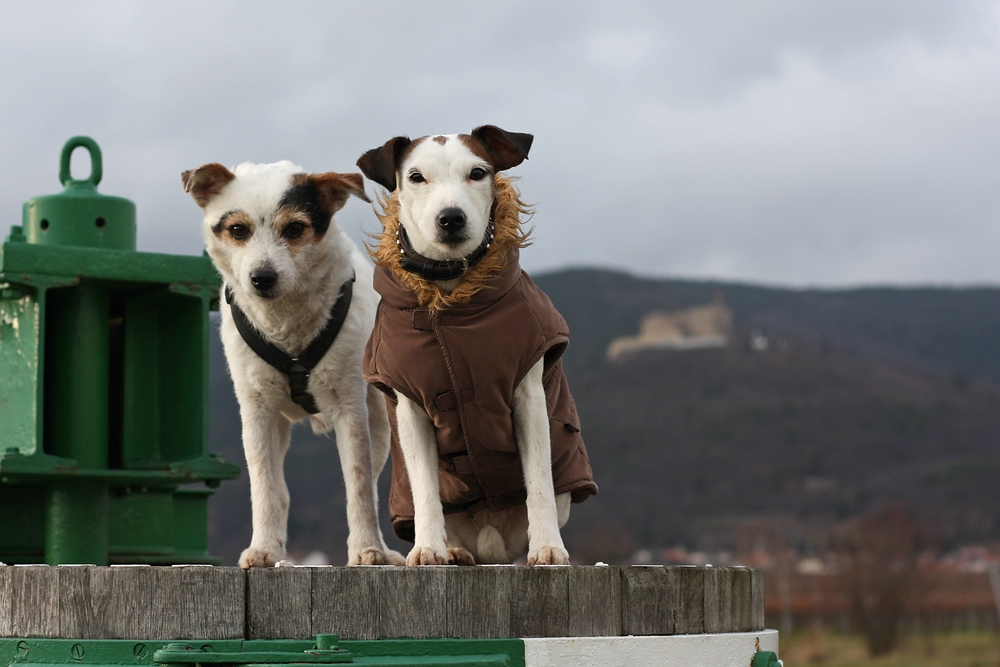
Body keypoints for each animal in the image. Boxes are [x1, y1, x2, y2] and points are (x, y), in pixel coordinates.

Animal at [180, 160, 402, 568]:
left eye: (295, 228)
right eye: (238, 230)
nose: (262, 278)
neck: (286, 323)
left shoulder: (350, 408)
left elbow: (359, 483)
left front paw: (367, 548)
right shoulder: (258, 413)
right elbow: (266, 487)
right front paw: (265, 547)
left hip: (380, 423)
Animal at [358, 124, 592, 564]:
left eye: (478, 173)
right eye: (416, 177)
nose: (451, 217)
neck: (449, 297)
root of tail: (492, 544)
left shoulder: (528, 395)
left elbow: (538, 478)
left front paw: (549, 546)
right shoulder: (411, 407)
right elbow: (425, 487)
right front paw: (428, 547)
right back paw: (453, 550)